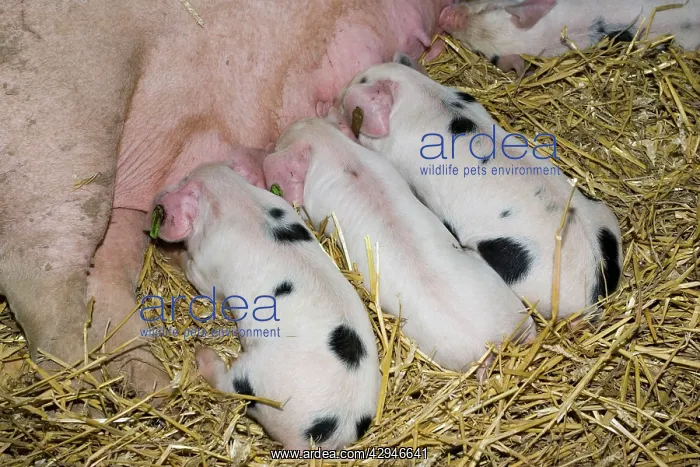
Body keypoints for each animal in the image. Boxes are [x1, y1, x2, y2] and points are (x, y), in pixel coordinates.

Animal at [153, 162, 381, 451]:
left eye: (183, 179)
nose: (157, 198)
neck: (233, 194)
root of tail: (332, 429)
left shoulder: (206, 270)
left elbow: (195, 275)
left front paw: (168, 254)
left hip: (258, 380)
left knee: (228, 386)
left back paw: (203, 354)